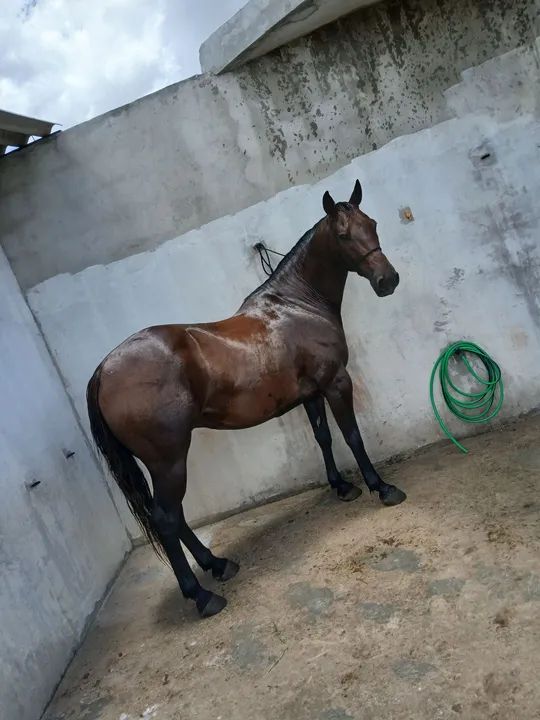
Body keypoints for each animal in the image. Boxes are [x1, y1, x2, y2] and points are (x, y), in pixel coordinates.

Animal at [87, 180, 406, 618]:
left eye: (370, 223)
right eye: (343, 235)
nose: (387, 280)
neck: (297, 306)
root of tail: (105, 368)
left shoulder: (311, 394)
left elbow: (324, 438)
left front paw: (342, 487)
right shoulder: (336, 383)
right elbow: (352, 436)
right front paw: (382, 488)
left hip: (163, 462)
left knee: (173, 516)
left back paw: (217, 564)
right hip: (169, 459)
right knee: (167, 518)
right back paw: (202, 596)